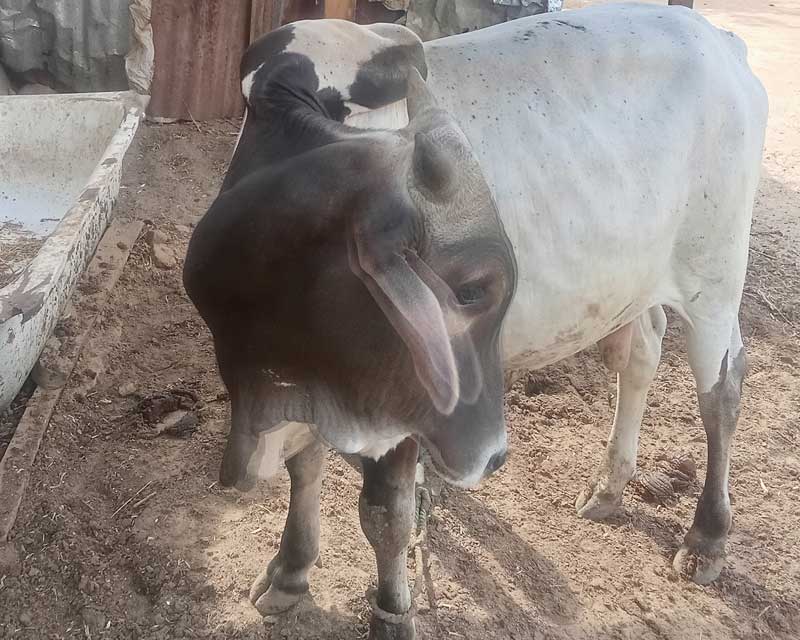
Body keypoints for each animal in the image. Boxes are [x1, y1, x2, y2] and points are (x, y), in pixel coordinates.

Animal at [184, 4, 768, 639]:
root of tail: (720, 40)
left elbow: (386, 513)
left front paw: (393, 613)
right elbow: (303, 465)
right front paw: (290, 571)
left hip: (714, 277)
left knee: (722, 391)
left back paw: (707, 536)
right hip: (634, 280)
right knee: (641, 352)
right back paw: (610, 485)